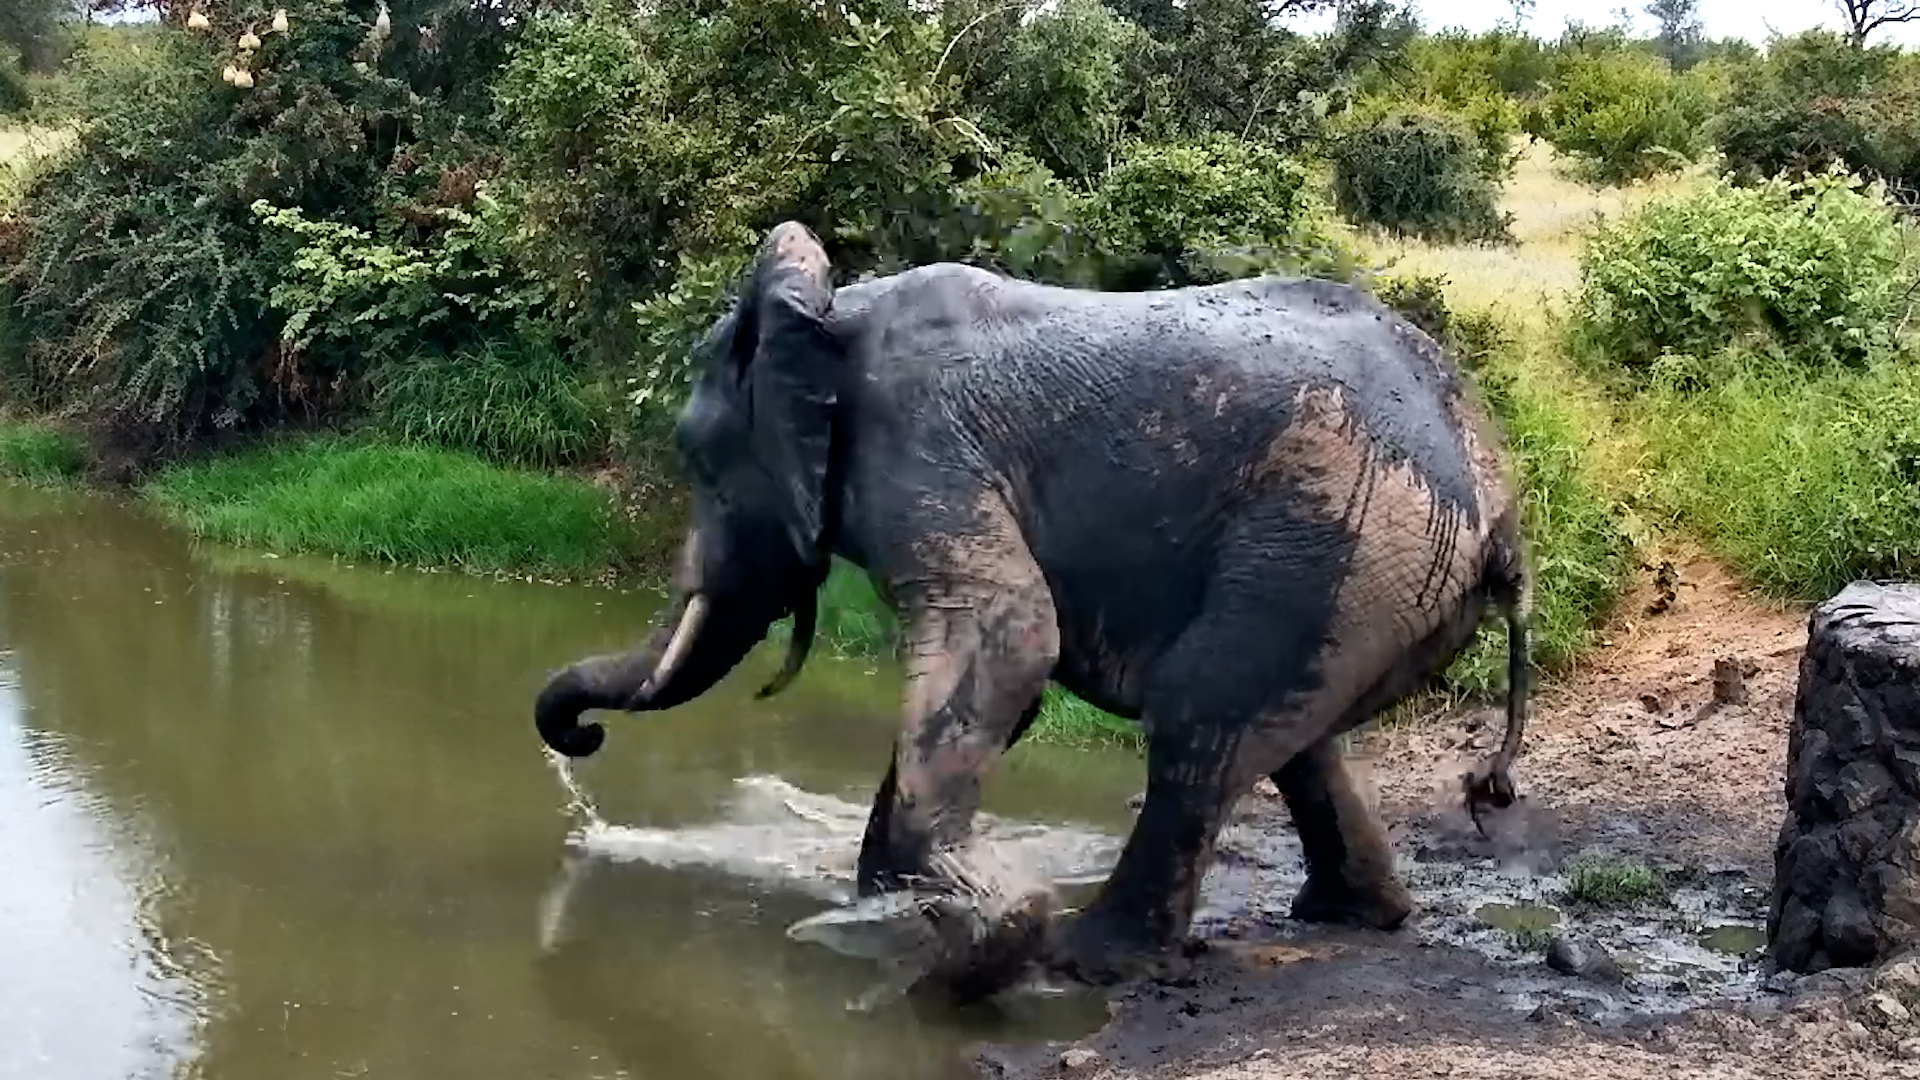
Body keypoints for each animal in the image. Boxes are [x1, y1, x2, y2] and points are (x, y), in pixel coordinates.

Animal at [535, 220, 1532, 999]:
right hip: (1362, 574)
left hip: (1341, 534)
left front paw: (971, 933)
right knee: (1293, 740)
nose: (582, 739)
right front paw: (888, 903)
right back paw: (1349, 914)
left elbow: (1012, 636)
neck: (829, 315)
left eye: (699, 461)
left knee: (1198, 715)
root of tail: (1497, 498)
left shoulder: (920, 445)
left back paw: (1083, 957)